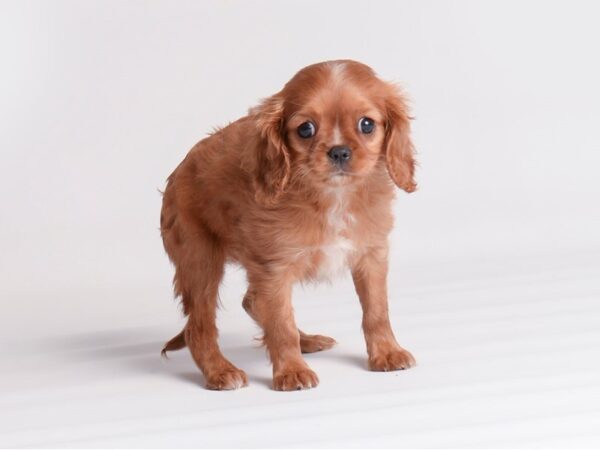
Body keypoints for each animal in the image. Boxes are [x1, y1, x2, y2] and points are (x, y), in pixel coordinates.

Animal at [159, 59, 418, 390]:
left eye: (367, 125)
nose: (339, 151)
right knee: (200, 327)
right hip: (200, 261)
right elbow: (281, 326)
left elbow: (376, 311)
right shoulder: (274, 269)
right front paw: (291, 372)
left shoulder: (371, 255)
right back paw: (220, 371)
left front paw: (386, 353)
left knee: (252, 302)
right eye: (306, 129)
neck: (333, 196)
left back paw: (307, 340)